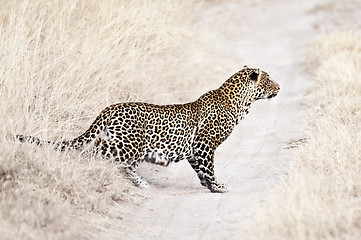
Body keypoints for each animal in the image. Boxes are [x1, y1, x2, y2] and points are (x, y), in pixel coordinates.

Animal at [13, 66, 278, 193]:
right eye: (269, 80)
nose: (279, 87)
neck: (240, 102)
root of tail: (110, 108)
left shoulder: (194, 149)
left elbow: (200, 170)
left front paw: (208, 185)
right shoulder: (204, 145)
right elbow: (209, 168)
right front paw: (218, 186)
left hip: (119, 143)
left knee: (111, 159)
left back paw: (140, 183)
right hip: (129, 146)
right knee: (95, 156)